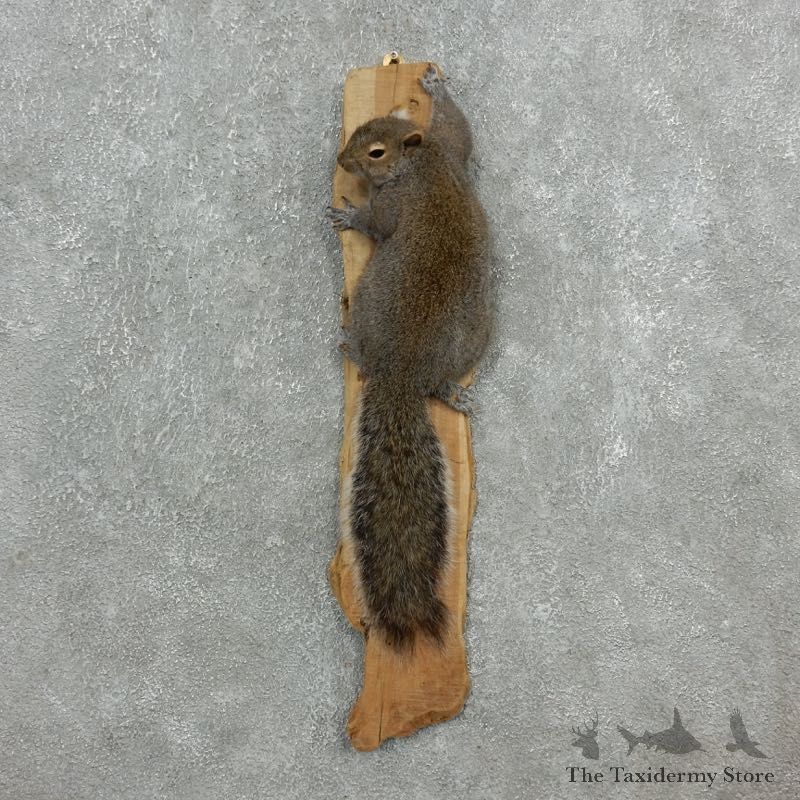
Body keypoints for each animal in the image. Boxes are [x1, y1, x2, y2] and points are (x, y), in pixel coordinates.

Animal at [326, 65, 492, 651]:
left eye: (374, 152)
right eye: (365, 126)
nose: (342, 158)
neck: (420, 161)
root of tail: (403, 374)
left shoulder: (397, 200)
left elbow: (377, 224)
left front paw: (349, 212)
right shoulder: (451, 147)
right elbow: (462, 129)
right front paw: (437, 86)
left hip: (369, 302)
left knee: (365, 355)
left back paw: (352, 345)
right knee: (442, 384)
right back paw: (454, 394)